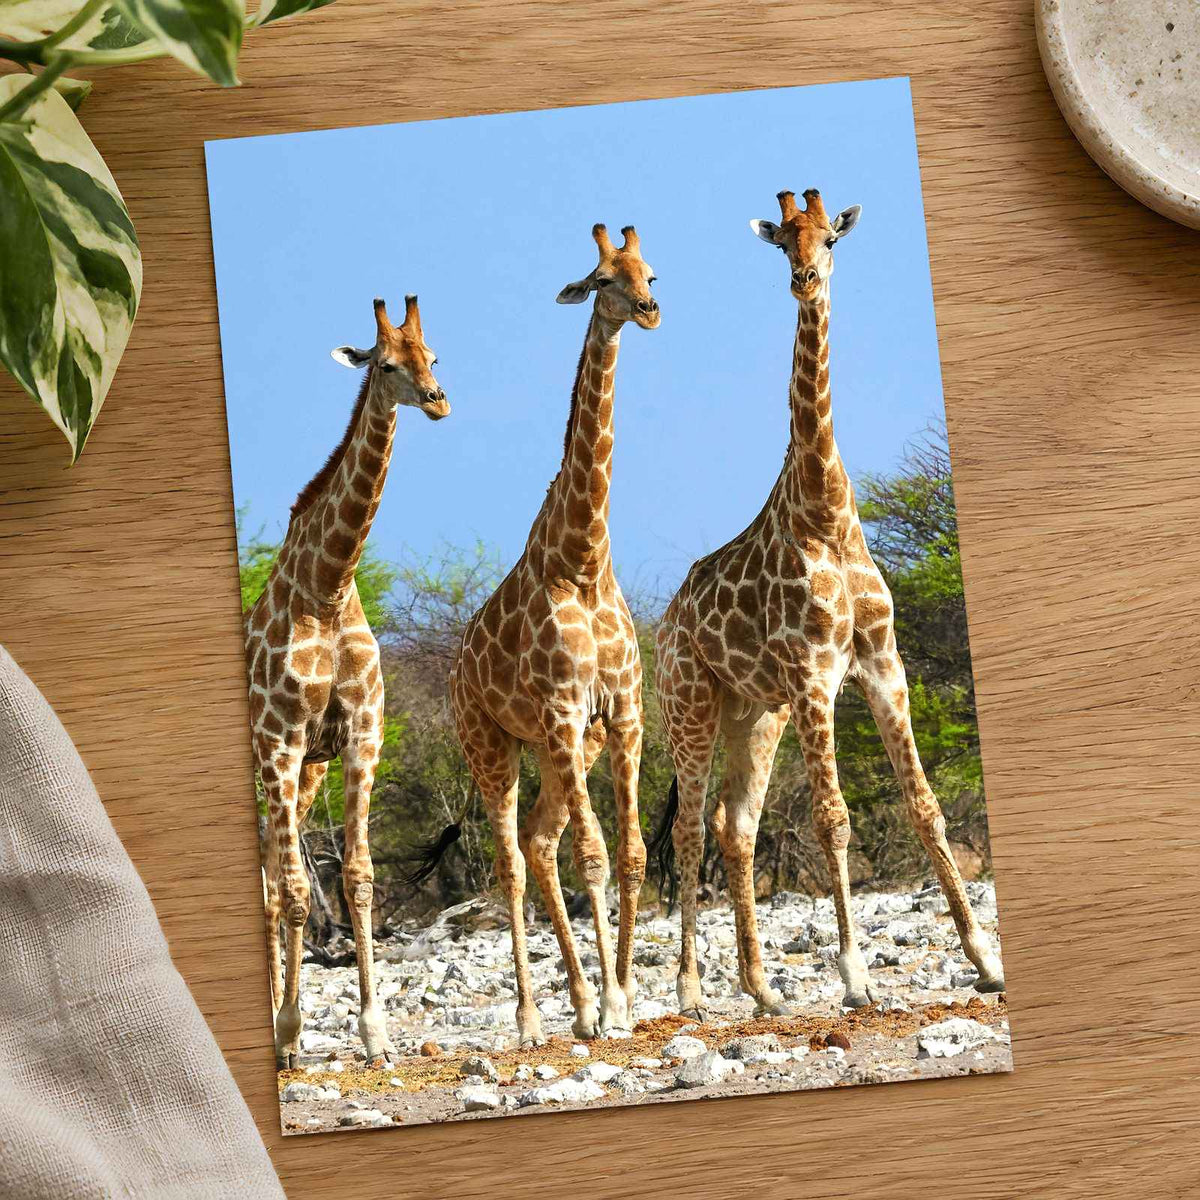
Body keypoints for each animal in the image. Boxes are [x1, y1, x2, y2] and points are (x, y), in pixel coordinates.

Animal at [247, 294, 449, 1068]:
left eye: (433, 355)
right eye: (386, 363)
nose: (437, 399)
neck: (328, 585)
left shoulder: (360, 737)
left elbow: (358, 880)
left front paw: (375, 1033)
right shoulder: (280, 743)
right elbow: (300, 891)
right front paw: (288, 1031)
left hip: (305, 775)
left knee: (274, 876)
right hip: (268, 766)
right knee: (275, 885)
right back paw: (281, 1033)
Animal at [446, 224, 658, 1047]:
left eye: (650, 272)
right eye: (601, 278)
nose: (648, 310)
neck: (584, 559)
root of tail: (454, 672)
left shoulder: (622, 714)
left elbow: (629, 856)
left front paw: (622, 998)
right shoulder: (567, 710)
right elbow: (594, 857)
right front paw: (614, 1004)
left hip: (558, 745)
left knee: (539, 841)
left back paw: (577, 1003)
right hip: (491, 745)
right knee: (511, 859)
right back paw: (534, 1017)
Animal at [652, 189, 1005, 1020]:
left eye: (830, 239)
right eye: (783, 241)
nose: (805, 281)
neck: (828, 511)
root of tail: (667, 621)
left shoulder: (881, 663)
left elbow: (926, 805)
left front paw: (985, 959)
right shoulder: (816, 672)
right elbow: (833, 819)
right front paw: (854, 975)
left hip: (756, 713)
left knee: (735, 827)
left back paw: (761, 990)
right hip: (691, 704)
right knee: (687, 831)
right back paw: (690, 988)